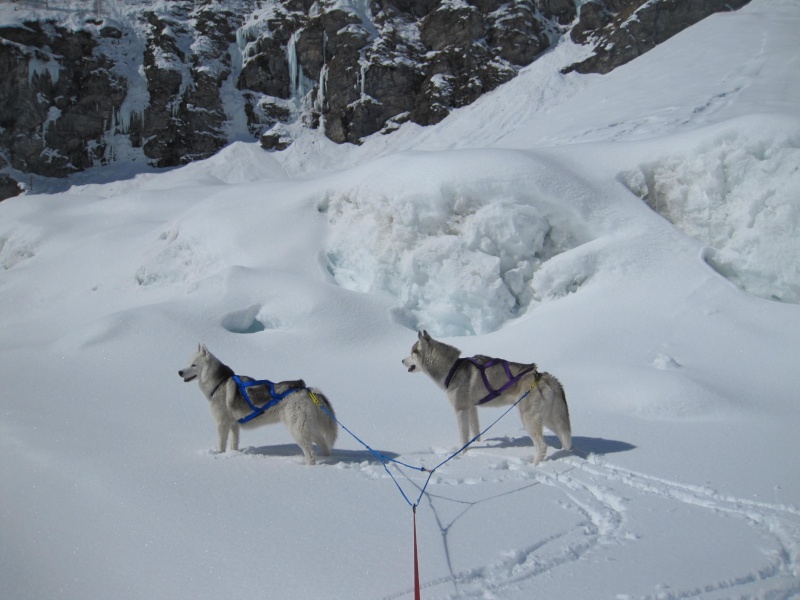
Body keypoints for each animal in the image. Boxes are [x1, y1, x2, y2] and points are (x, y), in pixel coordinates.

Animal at [180, 342, 338, 464]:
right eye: (188, 363)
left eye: (193, 365)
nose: (179, 372)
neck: (219, 383)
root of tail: (306, 389)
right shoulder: (234, 425)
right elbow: (233, 444)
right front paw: (232, 454)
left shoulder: (222, 424)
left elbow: (221, 446)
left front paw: (220, 455)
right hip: (307, 428)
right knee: (324, 444)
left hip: (297, 429)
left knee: (310, 455)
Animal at [404, 332, 572, 464]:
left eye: (412, 352)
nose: (402, 361)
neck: (452, 368)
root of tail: (542, 376)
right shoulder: (472, 408)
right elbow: (475, 431)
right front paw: (479, 444)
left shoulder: (460, 410)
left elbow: (463, 437)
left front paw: (463, 454)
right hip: (549, 419)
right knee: (563, 437)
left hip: (529, 419)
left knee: (542, 446)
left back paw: (534, 465)